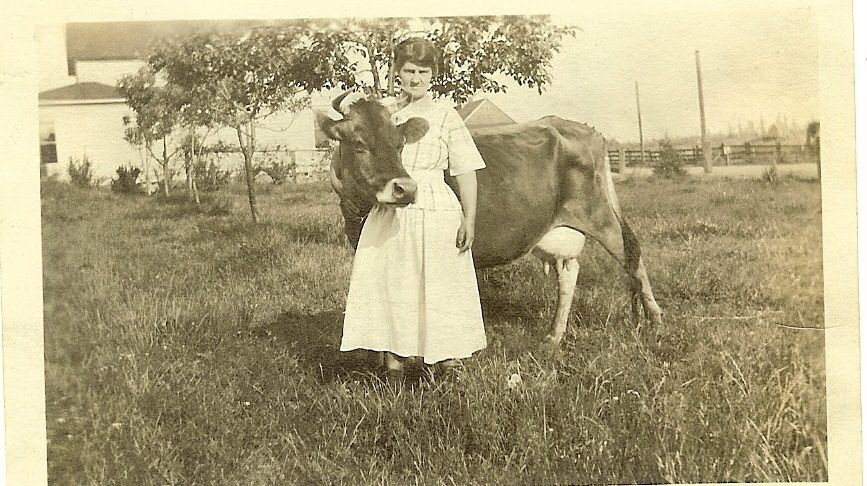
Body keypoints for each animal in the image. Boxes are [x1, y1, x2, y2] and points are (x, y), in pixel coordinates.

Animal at [318, 92, 662, 346]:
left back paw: (655, 323)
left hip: (600, 214)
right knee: (570, 272)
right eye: (359, 144)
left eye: (399, 145)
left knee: (633, 258)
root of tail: (585, 130)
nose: (405, 188)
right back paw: (554, 335)